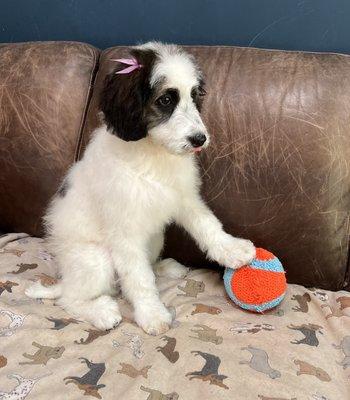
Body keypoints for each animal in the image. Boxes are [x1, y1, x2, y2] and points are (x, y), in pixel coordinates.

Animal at [24, 41, 254, 334]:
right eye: (166, 99)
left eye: (194, 96)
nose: (199, 139)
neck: (153, 154)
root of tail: (65, 278)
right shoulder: (124, 231)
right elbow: (138, 278)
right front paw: (152, 314)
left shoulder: (183, 196)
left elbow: (207, 225)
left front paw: (232, 250)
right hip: (96, 259)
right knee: (70, 298)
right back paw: (101, 312)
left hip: (155, 238)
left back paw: (164, 268)